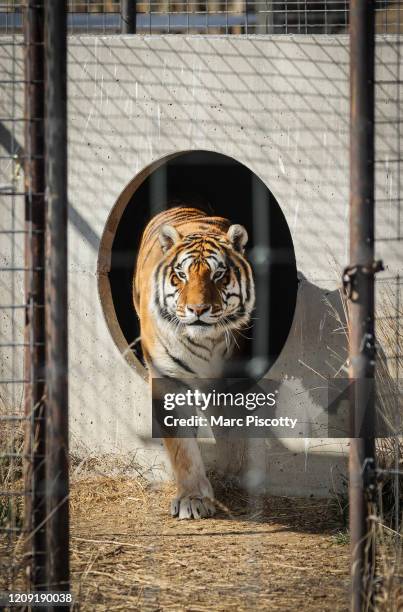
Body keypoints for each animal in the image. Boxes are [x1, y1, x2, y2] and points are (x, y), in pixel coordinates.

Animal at [135, 208, 256, 520]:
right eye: (181, 275)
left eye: (218, 274)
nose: (198, 310)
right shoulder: (167, 380)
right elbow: (182, 446)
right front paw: (193, 498)